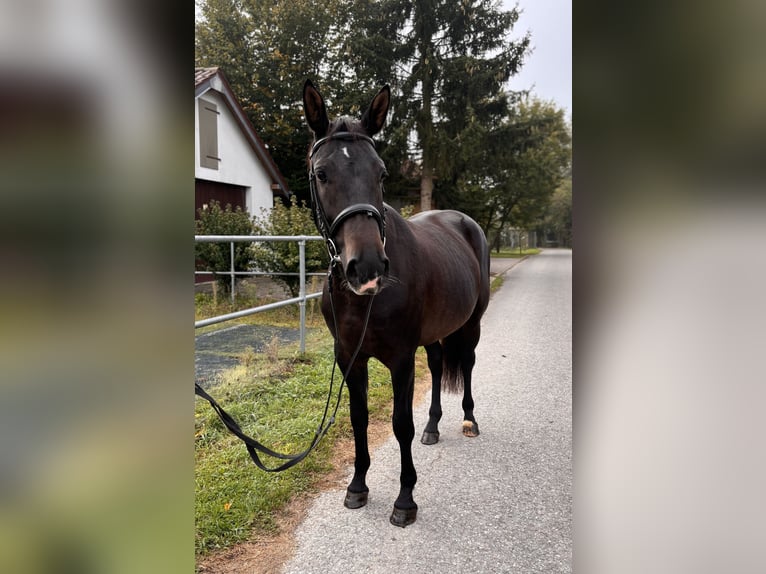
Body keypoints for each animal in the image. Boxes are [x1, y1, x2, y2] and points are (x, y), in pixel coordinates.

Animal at [302, 81, 488, 532]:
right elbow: (359, 417)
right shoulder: (350, 357)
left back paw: (468, 420)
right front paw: (357, 486)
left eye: (381, 173)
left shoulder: (401, 358)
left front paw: (405, 500)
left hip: (472, 323)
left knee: (467, 364)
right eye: (322, 173)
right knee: (438, 365)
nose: (367, 268)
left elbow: (400, 423)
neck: (363, 300)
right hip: (436, 332)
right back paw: (434, 426)